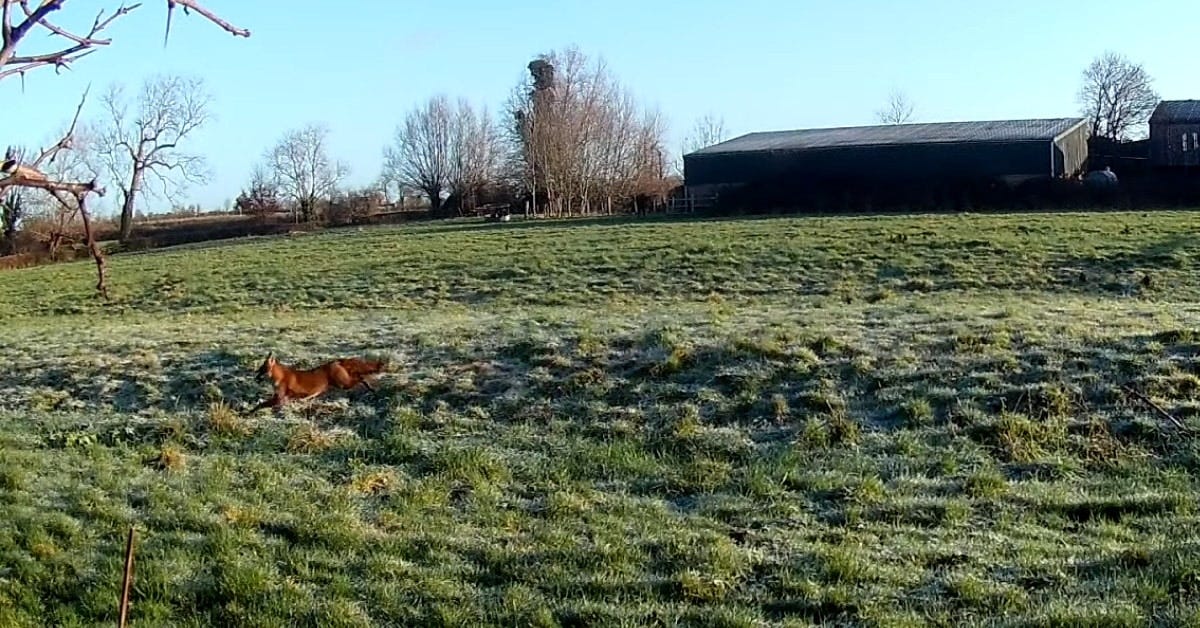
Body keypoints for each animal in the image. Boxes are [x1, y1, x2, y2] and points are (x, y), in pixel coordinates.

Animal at [247, 350, 386, 415]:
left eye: (261, 370)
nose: (255, 378)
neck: (280, 377)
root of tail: (336, 361)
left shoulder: (279, 398)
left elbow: (260, 405)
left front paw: (248, 413)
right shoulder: (281, 399)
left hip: (343, 384)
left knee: (360, 378)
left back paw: (370, 387)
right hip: (342, 383)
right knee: (359, 375)